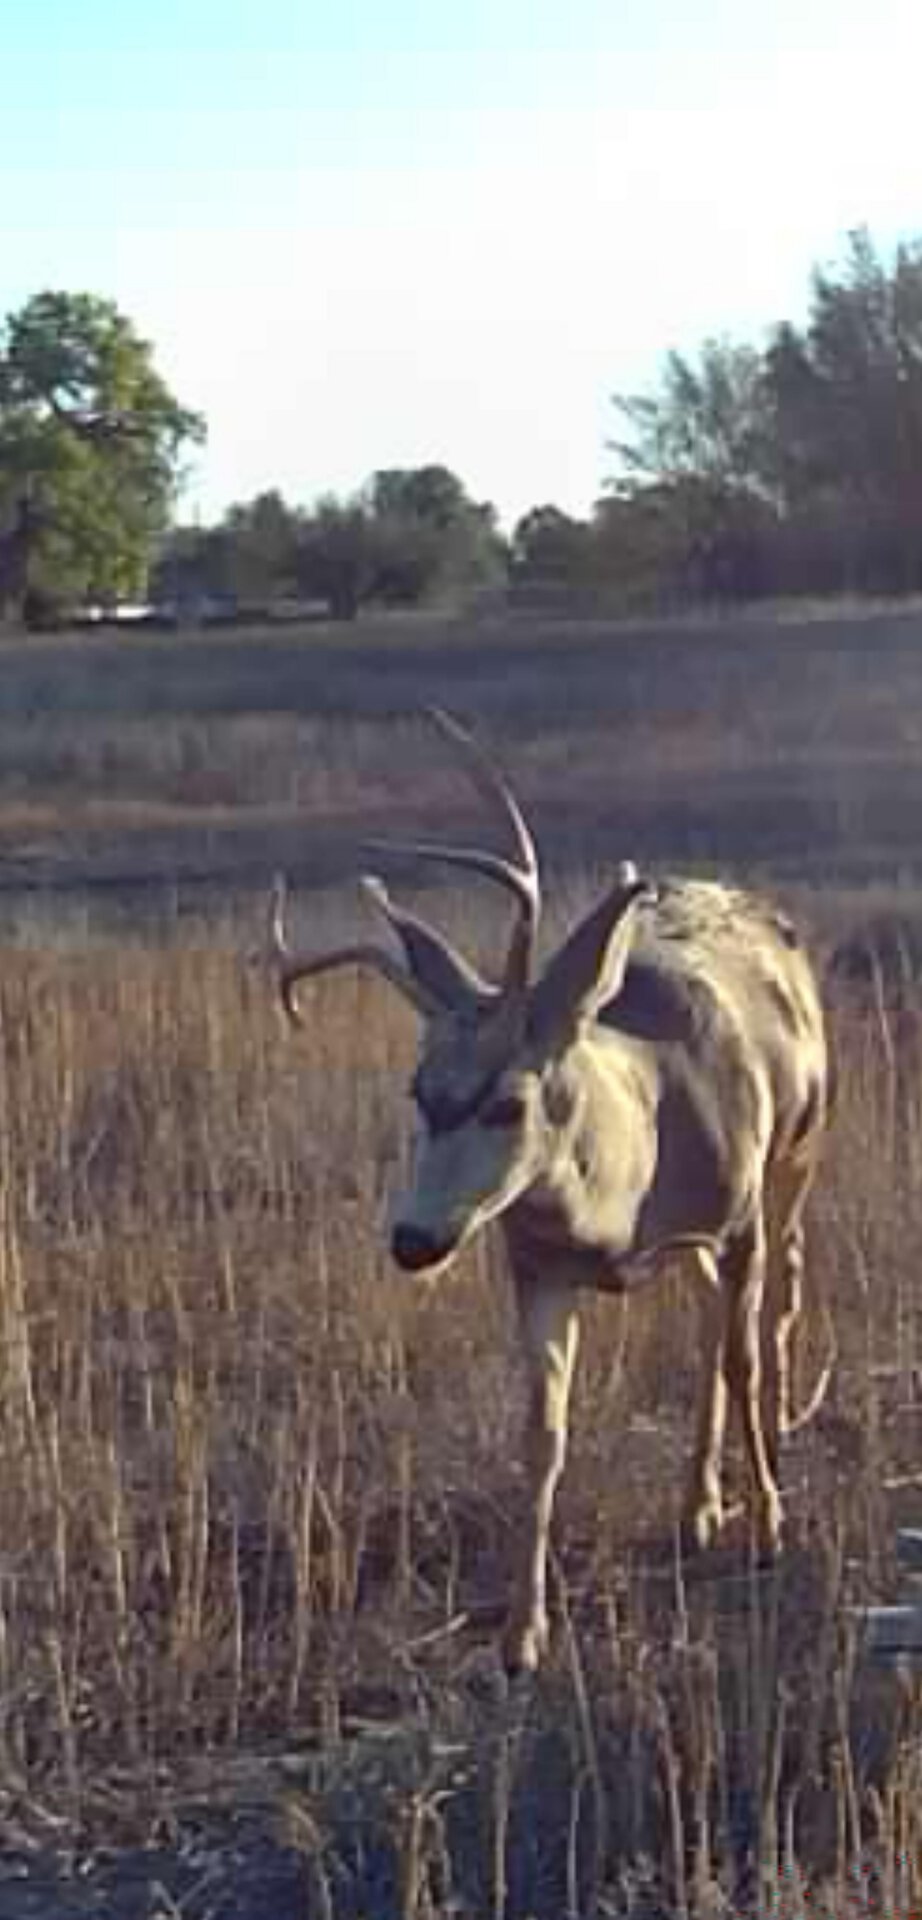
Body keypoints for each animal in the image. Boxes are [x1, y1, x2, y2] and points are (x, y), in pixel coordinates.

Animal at [267, 711, 831, 1672]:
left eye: (509, 1101)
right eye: (418, 1090)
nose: (413, 1241)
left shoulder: (737, 1216)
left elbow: (742, 1355)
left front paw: (770, 1527)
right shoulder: (536, 1262)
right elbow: (545, 1433)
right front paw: (521, 1634)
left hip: (797, 1153)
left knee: (775, 1301)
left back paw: (772, 1447)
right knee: (708, 1312)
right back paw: (697, 1506)